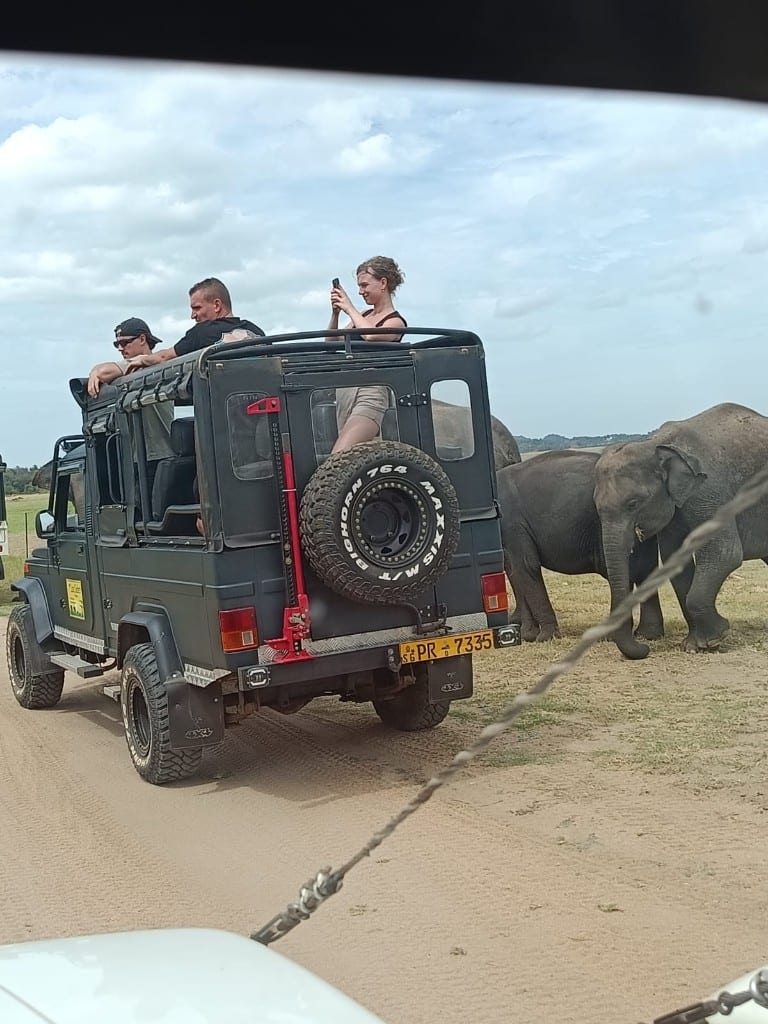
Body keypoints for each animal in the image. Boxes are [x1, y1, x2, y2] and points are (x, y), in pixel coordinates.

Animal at [497, 449, 663, 642]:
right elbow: (514, 569)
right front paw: (527, 635)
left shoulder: (512, 523)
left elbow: (526, 566)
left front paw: (543, 637)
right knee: (644, 570)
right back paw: (645, 634)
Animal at [593, 402, 768, 659]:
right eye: (596, 507)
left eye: (634, 503)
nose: (645, 647)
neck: (656, 443)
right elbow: (673, 557)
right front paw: (693, 645)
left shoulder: (710, 490)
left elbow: (724, 553)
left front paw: (714, 639)